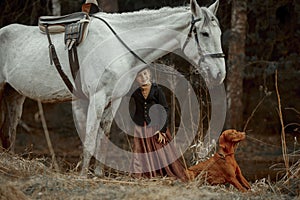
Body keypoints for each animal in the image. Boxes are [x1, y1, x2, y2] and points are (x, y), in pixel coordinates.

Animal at [0, 0, 225, 175]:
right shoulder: (96, 98)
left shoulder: (115, 98)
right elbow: (91, 138)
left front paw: (98, 173)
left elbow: (104, 135)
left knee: (9, 131)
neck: (117, 46)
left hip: (14, 95)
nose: (220, 74)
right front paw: (83, 175)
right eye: (204, 33)